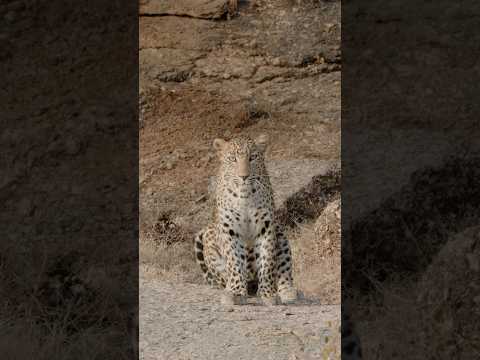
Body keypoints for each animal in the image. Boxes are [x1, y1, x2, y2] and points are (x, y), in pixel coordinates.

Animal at [193, 135, 298, 306]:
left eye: (252, 157)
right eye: (233, 159)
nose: (244, 176)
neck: (245, 196)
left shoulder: (266, 228)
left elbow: (267, 262)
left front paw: (268, 294)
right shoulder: (230, 230)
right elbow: (235, 262)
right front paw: (236, 292)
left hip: (281, 235)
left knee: (284, 270)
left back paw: (287, 291)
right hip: (207, 237)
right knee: (225, 276)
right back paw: (230, 288)